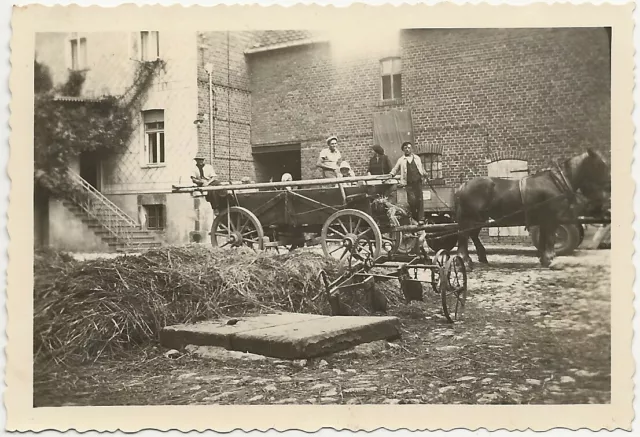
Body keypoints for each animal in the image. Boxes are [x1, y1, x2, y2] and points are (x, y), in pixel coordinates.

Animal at [456, 148, 608, 268]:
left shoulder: (544, 219)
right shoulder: (552, 218)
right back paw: (466, 261)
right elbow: (551, 239)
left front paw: (544, 259)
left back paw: (481, 258)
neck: (556, 182)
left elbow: (544, 239)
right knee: (464, 236)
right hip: (470, 218)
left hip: (480, 218)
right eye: (600, 164)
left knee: (472, 235)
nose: (608, 183)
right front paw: (549, 259)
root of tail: (463, 185)